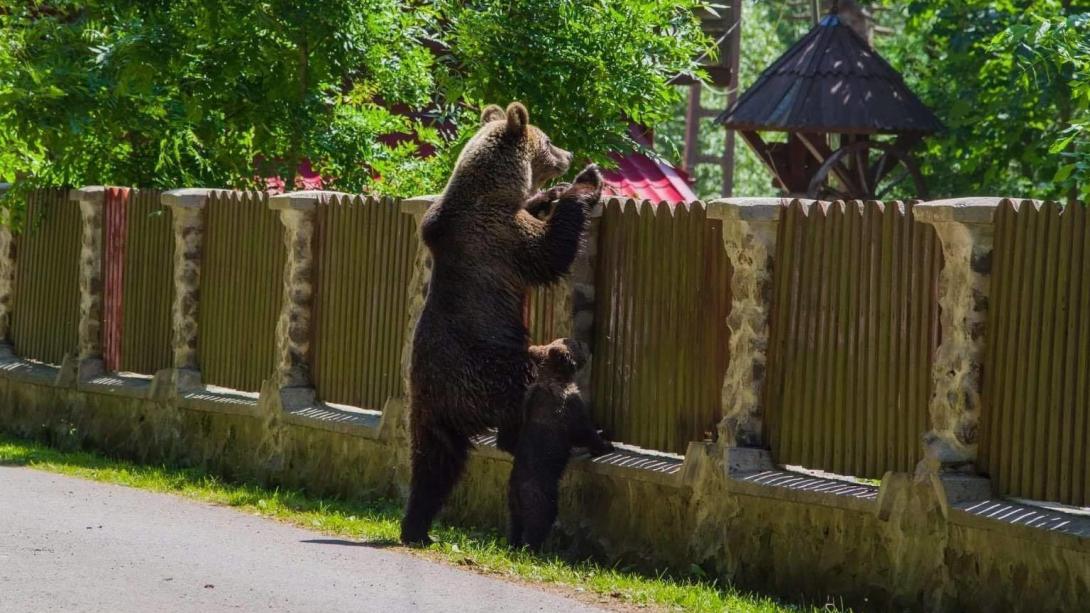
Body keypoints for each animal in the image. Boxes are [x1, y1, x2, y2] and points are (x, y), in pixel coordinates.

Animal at [403, 101, 606, 543]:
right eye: (549, 139)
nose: (568, 154)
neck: (491, 190)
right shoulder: (500, 237)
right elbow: (549, 250)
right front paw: (584, 183)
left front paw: (548, 194)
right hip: (500, 372)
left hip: (431, 409)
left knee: (434, 463)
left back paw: (417, 527)